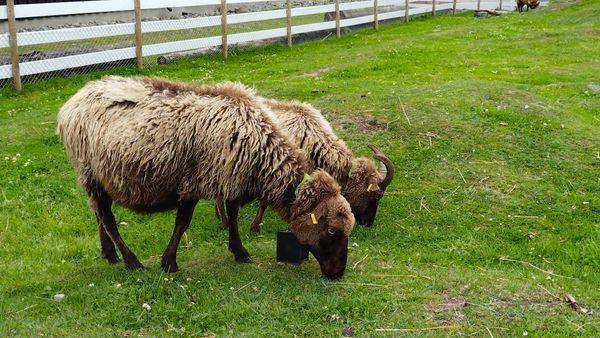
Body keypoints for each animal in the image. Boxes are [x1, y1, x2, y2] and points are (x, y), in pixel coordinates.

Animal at [56, 76, 354, 280]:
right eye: (331, 231)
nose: (338, 273)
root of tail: (74, 99)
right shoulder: (193, 182)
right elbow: (183, 223)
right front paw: (169, 263)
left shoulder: (232, 176)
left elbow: (232, 215)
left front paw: (240, 251)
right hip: (91, 171)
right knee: (107, 218)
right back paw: (132, 261)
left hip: (97, 178)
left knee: (98, 214)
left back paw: (109, 254)